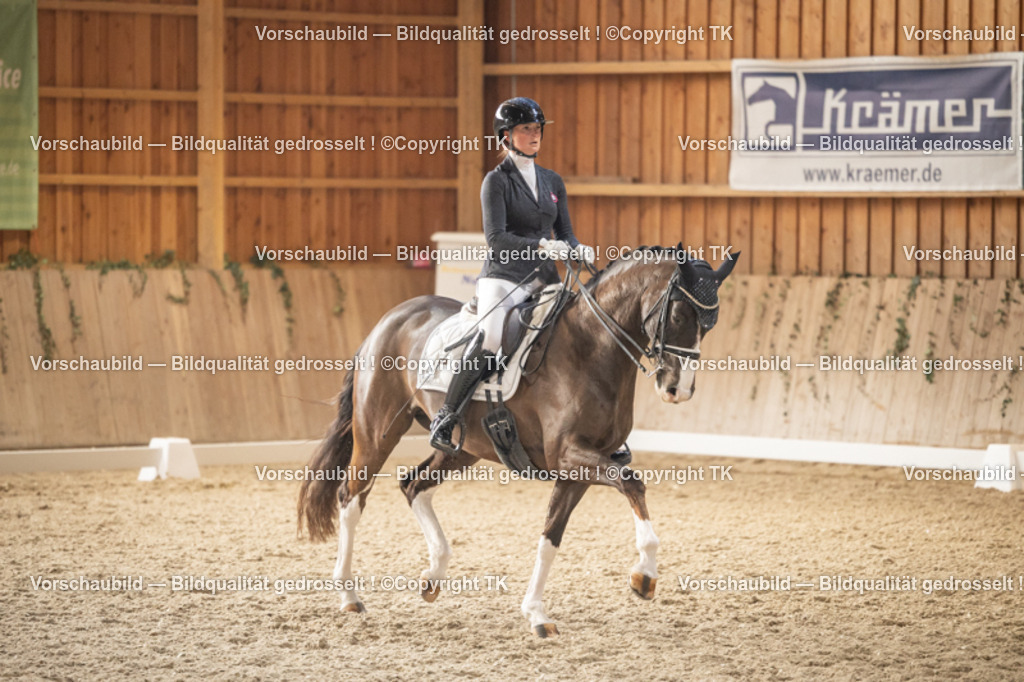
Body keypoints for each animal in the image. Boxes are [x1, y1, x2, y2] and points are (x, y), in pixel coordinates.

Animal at [297, 247, 739, 637]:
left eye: (710, 322)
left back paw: (433, 575)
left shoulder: (577, 469)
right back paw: (349, 595)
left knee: (413, 484)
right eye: (679, 313)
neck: (591, 348)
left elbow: (550, 538)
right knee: (352, 497)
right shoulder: (570, 456)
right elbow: (632, 483)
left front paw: (536, 614)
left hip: (463, 448)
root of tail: (390, 318)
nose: (678, 389)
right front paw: (644, 574)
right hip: (377, 433)